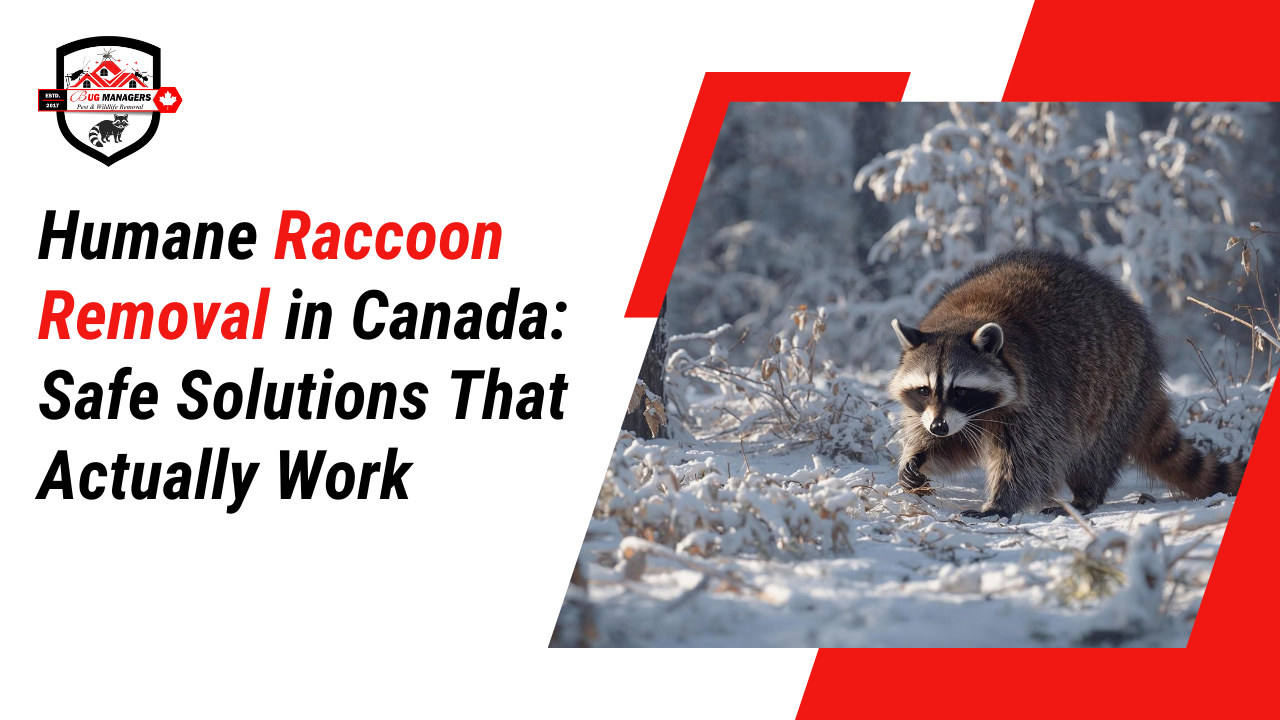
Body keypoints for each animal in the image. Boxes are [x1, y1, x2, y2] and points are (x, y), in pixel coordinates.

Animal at [889, 248, 1245, 518]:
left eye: (961, 391)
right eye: (924, 390)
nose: (938, 426)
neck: (966, 316)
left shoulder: (1039, 396)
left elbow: (1030, 456)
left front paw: (1001, 501)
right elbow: (954, 442)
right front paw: (919, 454)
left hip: (1114, 386)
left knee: (1092, 450)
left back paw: (1086, 495)